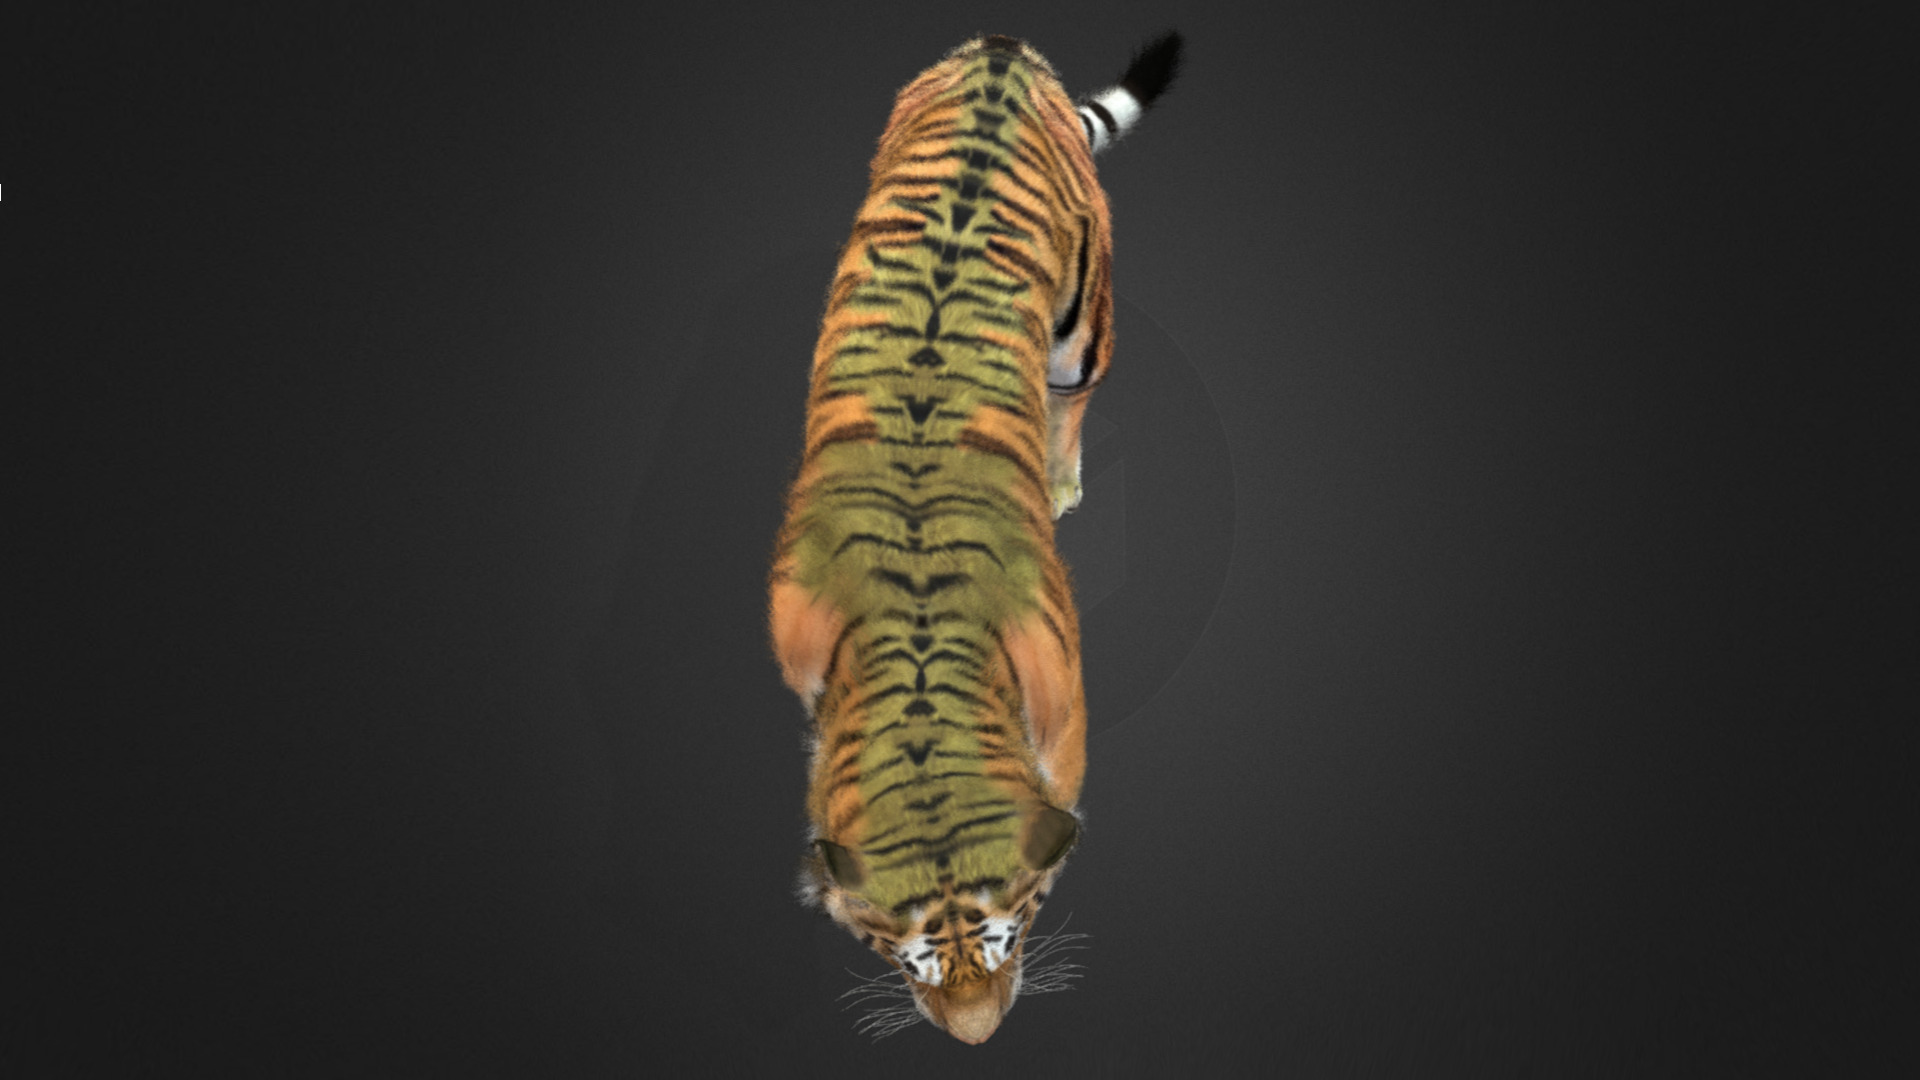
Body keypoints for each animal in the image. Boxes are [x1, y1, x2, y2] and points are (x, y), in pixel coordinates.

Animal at [768, 31, 1182, 1044]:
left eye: (1013, 934)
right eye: (903, 957)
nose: (978, 1037)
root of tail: (1003, 48)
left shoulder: (1064, 722)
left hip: (1082, 328)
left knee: (1074, 393)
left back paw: (1064, 478)